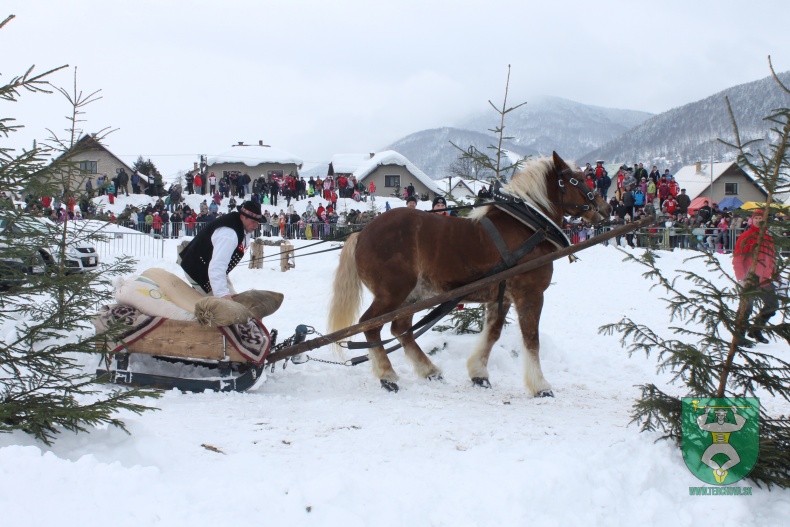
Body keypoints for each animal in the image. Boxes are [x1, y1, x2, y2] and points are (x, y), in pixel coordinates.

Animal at [328, 153, 612, 396]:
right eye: (576, 179)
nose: (605, 207)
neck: (528, 225)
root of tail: (362, 232)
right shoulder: (530, 294)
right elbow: (532, 339)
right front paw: (541, 386)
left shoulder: (503, 296)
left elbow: (493, 333)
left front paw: (479, 374)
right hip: (392, 293)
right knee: (371, 325)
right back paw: (387, 376)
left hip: (412, 294)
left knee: (401, 329)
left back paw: (429, 370)